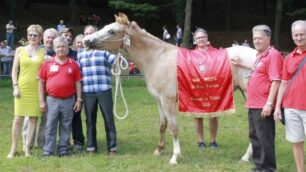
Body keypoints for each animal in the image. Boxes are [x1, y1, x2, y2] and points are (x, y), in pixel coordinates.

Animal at [83, 13, 256, 164]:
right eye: (105, 27)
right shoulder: (159, 101)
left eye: (111, 31)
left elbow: (173, 128)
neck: (158, 58)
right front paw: (159, 150)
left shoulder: (168, 101)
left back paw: (246, 157)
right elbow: (162, 125)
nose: (86, 41)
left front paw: (174, 157)